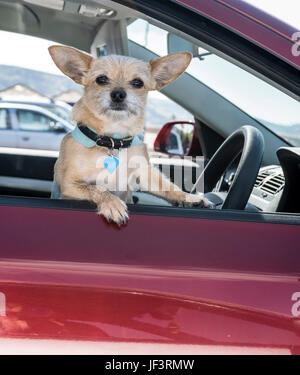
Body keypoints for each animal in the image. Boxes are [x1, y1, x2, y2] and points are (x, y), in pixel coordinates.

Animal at [48, 45, 213, 225]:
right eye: (101, 79)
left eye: (138, 83)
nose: (118, 94)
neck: (113, 140)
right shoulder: (69, 185)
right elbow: (96, 188)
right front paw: (112, 203)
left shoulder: (145, 176)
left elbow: (167, 186)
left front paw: (189, 197)